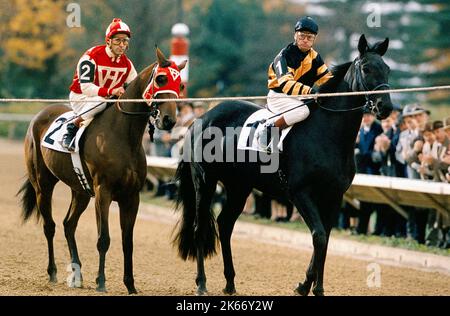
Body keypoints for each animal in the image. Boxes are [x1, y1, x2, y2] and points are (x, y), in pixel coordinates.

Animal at [17, 47, 185, 294]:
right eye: (161, 79)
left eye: (180, 84)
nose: (169, 120)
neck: (123, 135)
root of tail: (41, 115)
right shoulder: (103, 193)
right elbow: (103, 239)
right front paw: (102, 282)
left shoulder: (131, 196)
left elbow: (128, 242)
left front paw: (130, 285)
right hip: (43, 185)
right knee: (50, 226)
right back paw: (53, 273)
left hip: (80, 191)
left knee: (69, 225)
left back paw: (76, 275)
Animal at [174, 35, 392, 296]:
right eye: (367, 68)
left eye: (387, 69)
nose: (385, 107)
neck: (327, 135)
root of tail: (201, 118)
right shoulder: (300, 193)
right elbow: (319, 236)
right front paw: (306, 286)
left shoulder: (334, 195)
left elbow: (325, 237)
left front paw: (314, 287)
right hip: (205, 181)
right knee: (200, 228)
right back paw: (202, 283)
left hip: (239, 186)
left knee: (225, 225)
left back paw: (230, 283)